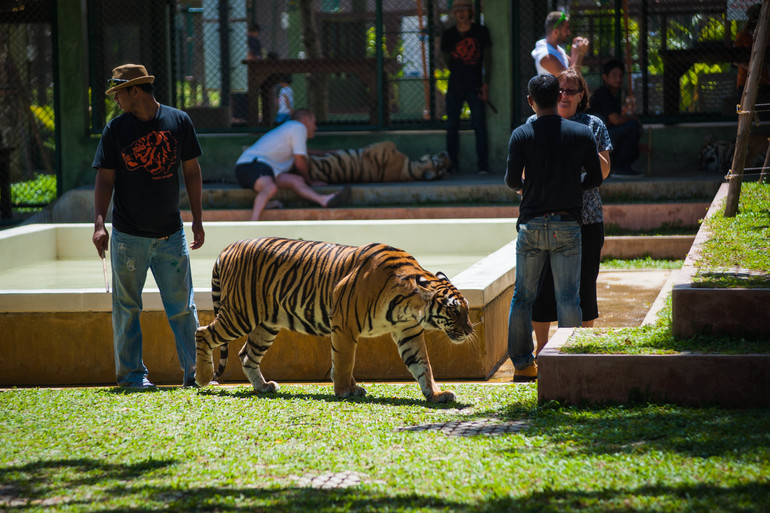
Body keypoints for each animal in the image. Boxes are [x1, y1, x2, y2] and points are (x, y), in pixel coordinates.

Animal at [194, 237, 474, 403]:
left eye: (467, 310)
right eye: (454, 311)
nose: (470, 330)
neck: (408, 306)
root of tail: (228, 246)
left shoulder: (409, 333)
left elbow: (423, 365)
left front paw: (436, 394)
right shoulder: (344, 325)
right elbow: (343, 361)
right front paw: (345, 390)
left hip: (267, 324)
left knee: (246, 355)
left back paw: (262, 386)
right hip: (240, 314)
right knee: (203, 332)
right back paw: (203, 377)